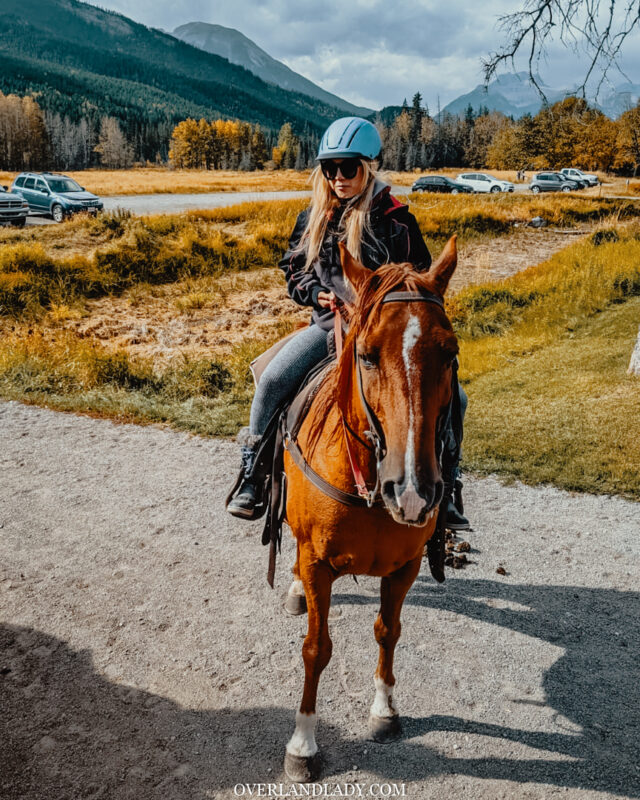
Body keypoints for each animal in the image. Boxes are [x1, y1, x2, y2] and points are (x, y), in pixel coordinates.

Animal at [282, 234, 458, 780]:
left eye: (450, 352)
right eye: (366, 354)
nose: (413, 490)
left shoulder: (404, 567)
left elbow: (388, 631)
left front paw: (384, 708)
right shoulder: (318, 564)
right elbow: (316, 649)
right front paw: (303, 743)